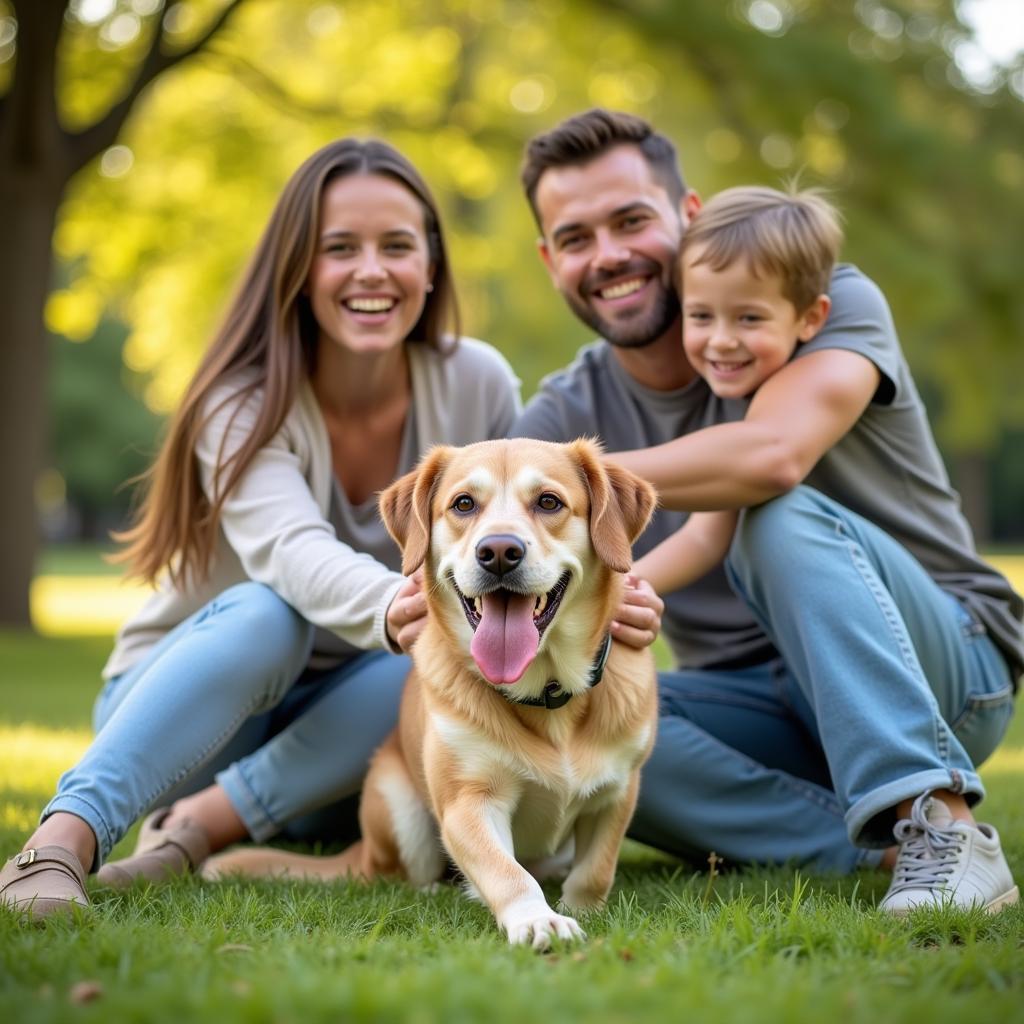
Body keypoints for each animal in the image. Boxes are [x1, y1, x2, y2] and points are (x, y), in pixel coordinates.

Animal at [203, 436, 659, 946]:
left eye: (548, 502)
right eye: (463, 504)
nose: (499, 551)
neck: (545, 692)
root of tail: (362, 850)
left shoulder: (618, 792)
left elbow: (595, 871)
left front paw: (582, 909)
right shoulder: (467, 802)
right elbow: (508, 872)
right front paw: (537, 919)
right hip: (397, 803)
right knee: (405, 876)